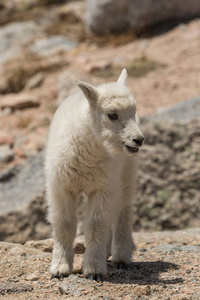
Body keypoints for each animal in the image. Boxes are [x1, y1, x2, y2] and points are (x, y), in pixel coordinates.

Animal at [45, 69, 144, 282]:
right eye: (112, 115)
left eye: (134, 111)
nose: (139, 139)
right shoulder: (61, 187)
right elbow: (64, 224)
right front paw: (59, 269)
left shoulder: (102, 187)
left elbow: (95, 225)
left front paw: (93, 270)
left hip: (126, 174)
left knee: (123, 211)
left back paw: (121, 257)